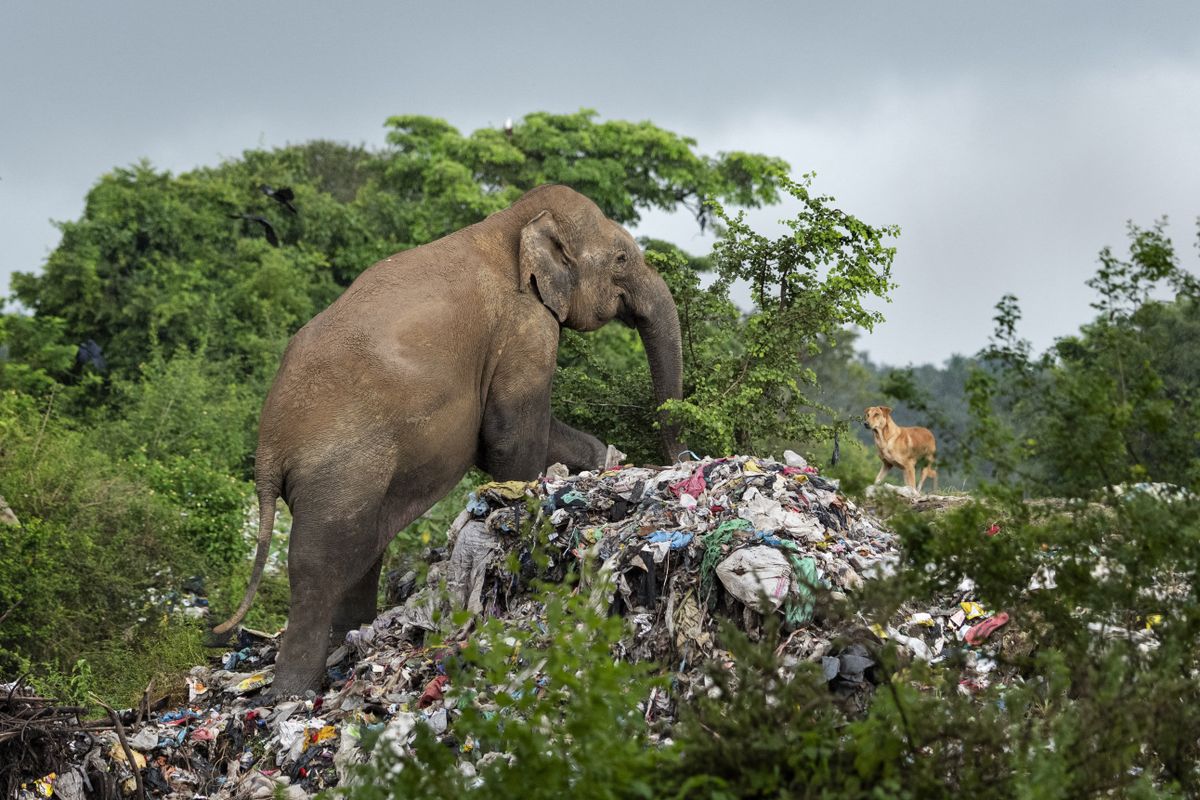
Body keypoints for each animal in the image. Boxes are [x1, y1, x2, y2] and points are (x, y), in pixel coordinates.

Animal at [213, 184, 684, 696]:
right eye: (621, 258)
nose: (680, 459)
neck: (513, 221)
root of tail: (267, 451)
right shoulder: (523, 326)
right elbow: (505, 437)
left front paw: (603, 460)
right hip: (338, 469)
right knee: (318, 567)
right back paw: (293, 694)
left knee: (362, 553)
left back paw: (350, 648)